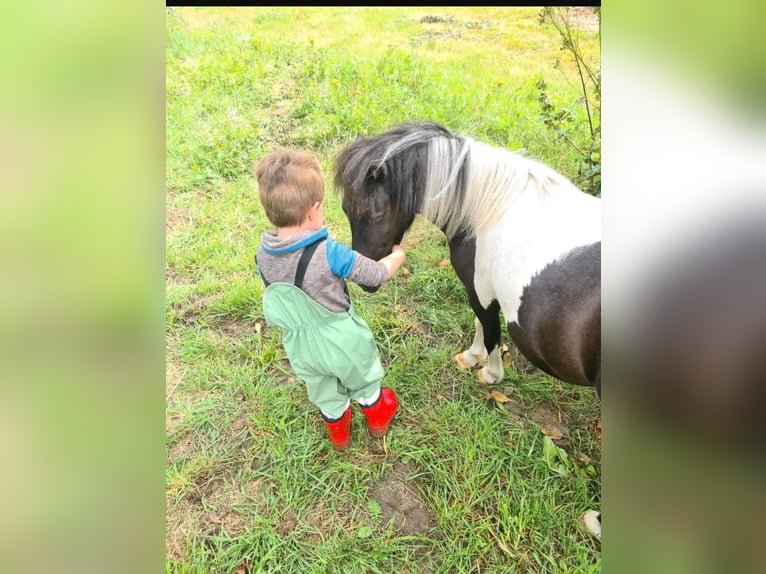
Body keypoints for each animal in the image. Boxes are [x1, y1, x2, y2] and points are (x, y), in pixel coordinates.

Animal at [334, 122, 601, 394]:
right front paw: (474, 357)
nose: (364, 282)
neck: (490, 211)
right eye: (345, 209)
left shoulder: (481, 293)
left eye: (375, 215)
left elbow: (489, 331)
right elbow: (479, 323)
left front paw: (488, 371)